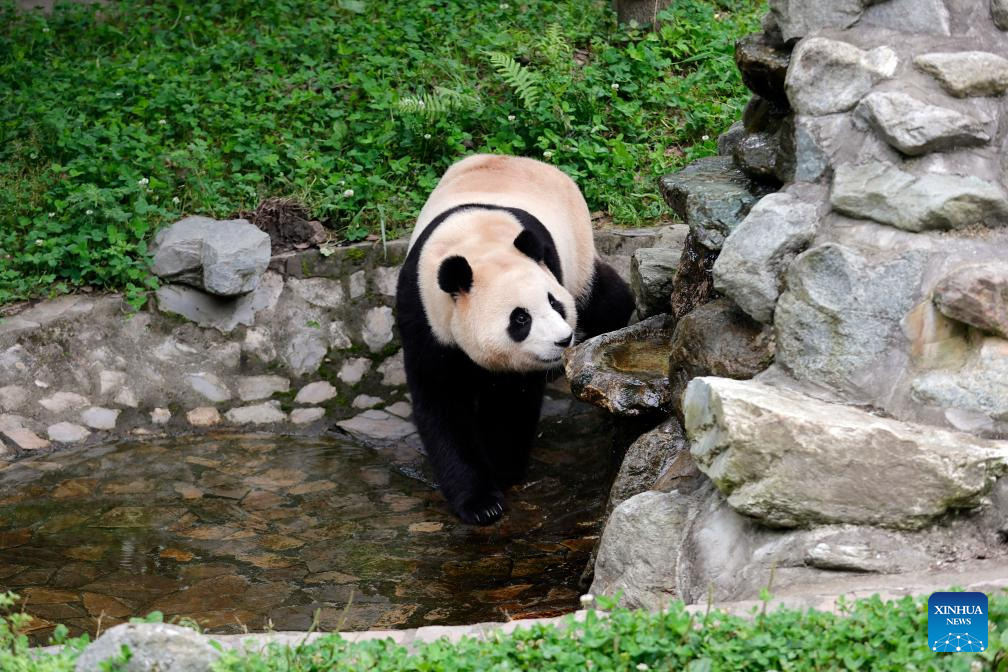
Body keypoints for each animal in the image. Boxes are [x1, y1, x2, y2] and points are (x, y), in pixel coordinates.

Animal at [393, 156, 628, 523]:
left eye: (554, 303)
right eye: (521, 319)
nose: (564, 340)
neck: (477, 244)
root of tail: (523, 160)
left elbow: (512, 399)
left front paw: (503, 468)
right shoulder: (423, 313)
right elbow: (441, 402)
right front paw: (481, 503)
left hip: (578, 255)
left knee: (606, 301)